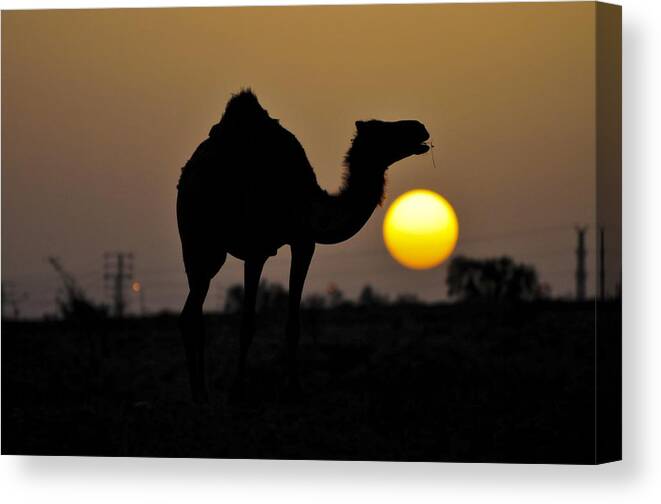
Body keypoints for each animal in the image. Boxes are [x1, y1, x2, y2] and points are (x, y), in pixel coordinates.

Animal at [175, 90, 428, 402]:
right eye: (382, 129)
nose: (419, 127)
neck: (305, 205)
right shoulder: (256, 250)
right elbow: (247, 323)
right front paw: (238, 391)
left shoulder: (303, 242)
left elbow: (293, 324)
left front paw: (295, 389)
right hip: (197, 242)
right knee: (191, 314)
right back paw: (199, 394)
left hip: (208, 253)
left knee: (193, 314)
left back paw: (201, 391)